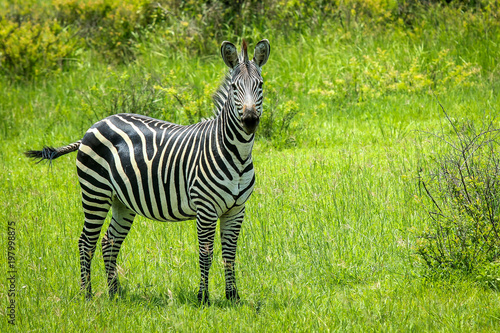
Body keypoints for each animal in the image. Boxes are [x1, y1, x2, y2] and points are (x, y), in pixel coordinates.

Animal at [24, 39, 270, 304]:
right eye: (234, 87)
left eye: (260, 85)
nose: (250, 120)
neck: (237, 154)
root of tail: (92, 127)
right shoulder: (206, 209)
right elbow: (206, 252)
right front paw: (203, 297)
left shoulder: (236, 210)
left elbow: (230, 253)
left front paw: (233, 296)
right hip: (95, 192)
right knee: (86, 242)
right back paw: (86, 294)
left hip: (121, 201)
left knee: (109, 241)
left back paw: (114, 293)